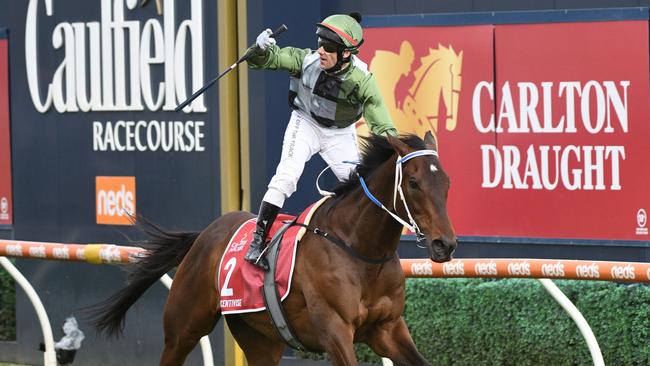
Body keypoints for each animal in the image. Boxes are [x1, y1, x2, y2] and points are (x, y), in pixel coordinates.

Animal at [87, 132, 456, 366]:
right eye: (413, 183)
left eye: (446, 182)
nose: (445, 244)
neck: (360, 250)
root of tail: (205, 233)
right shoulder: (336, 330)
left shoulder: (388, 329)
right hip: (183, 328)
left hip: (259, 337)